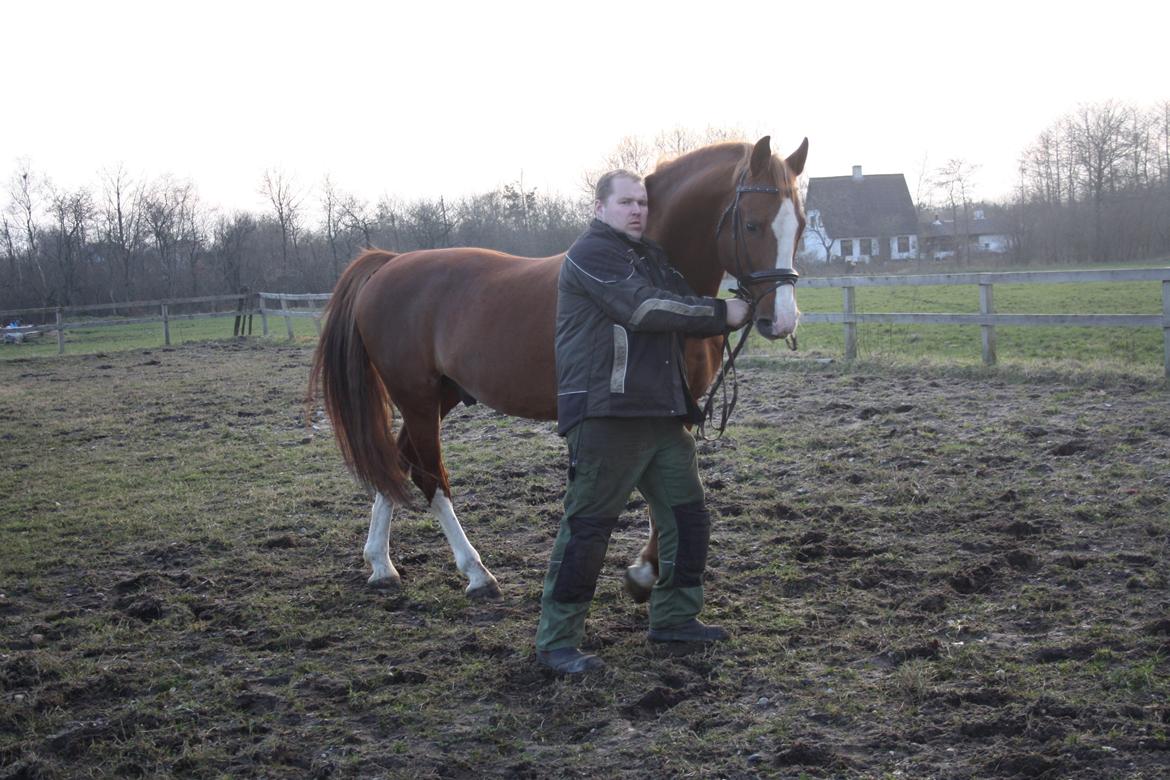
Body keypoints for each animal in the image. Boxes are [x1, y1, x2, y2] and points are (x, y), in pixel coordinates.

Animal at [306, 135, 809, 598]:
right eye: (752, 224)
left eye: (801, 226)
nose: (781, 319)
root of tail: (388, 265)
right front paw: (646, 570)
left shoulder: (673, 411)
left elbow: (668, 489)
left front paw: (647, 571)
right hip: (416, 397)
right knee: (430, 477)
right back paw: (476, 573)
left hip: (438, 396)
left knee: (395, 463)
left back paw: (381, 564)